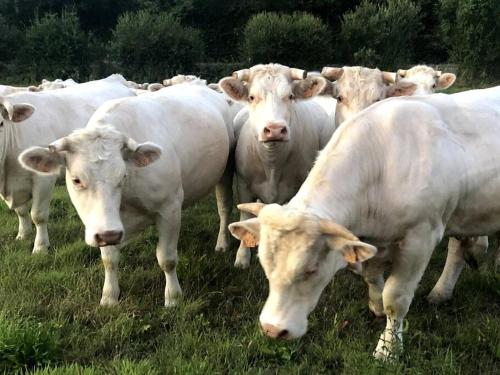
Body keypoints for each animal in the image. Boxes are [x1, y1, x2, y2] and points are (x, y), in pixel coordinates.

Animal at [0, 74, 135, 253]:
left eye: (1, 123)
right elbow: (21, 211)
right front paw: (23, 235)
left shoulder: (43, 179)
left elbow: (38, 215)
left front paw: (40, 247)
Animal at [19, 83, 234, 306]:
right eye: (76, 180)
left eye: (122, 175)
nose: (109, 234)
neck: (126, 199)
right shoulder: (104, 225)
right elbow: (109, 259)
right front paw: (109, 297)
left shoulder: (169, 208)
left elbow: (167, 258)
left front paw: (173, 297)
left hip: (226, 172)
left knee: (224, 208)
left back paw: (222, 243)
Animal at [220, 65, 334, 270]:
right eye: (252, 97)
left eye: (290, 96)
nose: (274, 129)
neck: (272, 163)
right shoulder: (243, 184)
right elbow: (244, 215)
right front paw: (242, 256)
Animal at [229, 86, 500, 360]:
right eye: (265, 265)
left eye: (311, 270)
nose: (273, 329)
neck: (381, 165)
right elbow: (370, 277)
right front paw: (376, 304)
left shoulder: (421, 237)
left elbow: (396, 297)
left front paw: (388, 349)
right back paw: (442, 291)